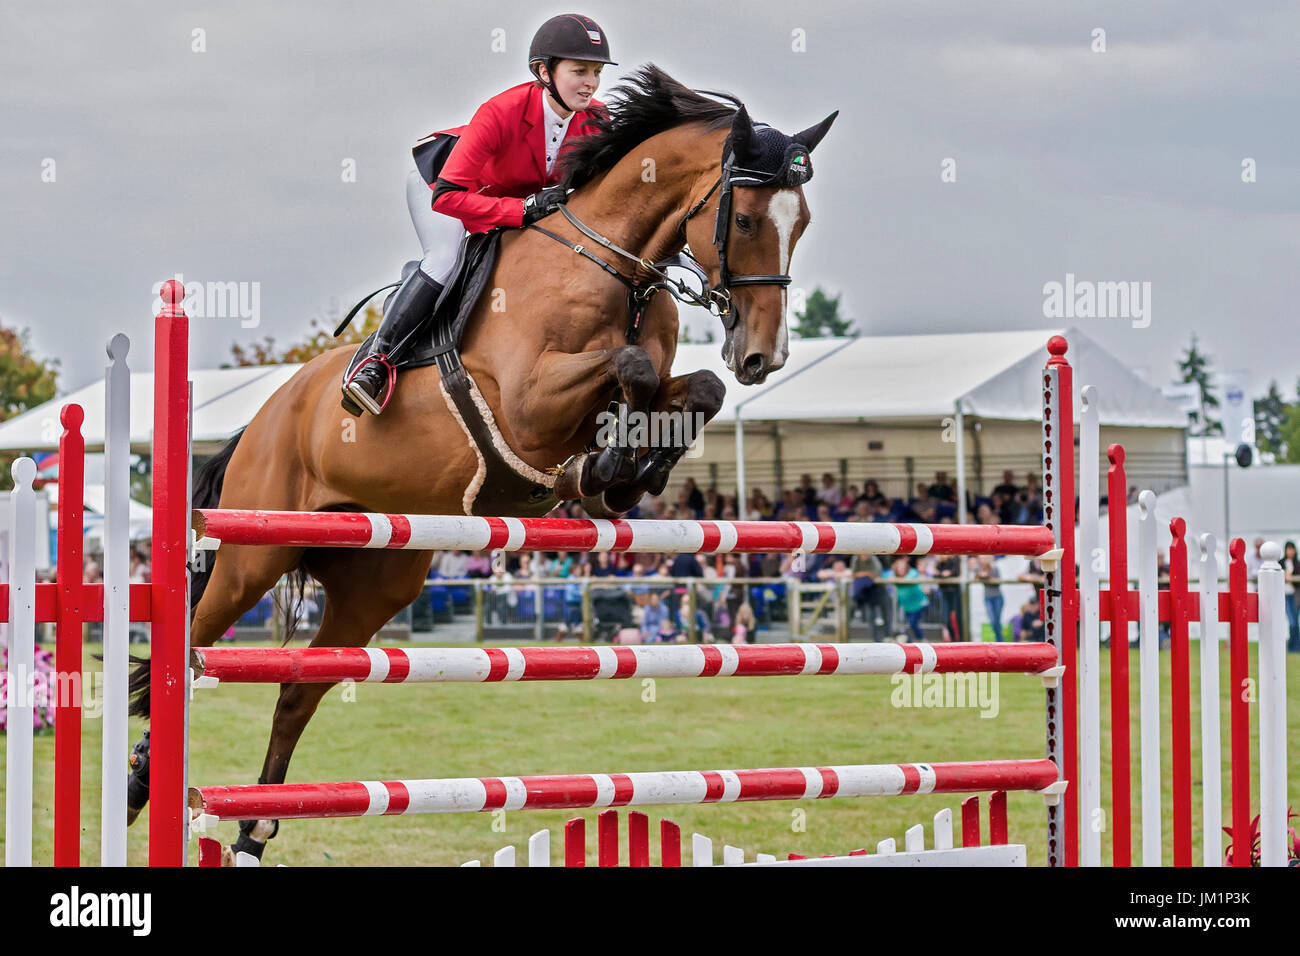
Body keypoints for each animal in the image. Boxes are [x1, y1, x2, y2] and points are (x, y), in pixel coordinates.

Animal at [131, 63, 837, 863]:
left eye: (801, 223)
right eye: (744, 220)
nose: (763, 357)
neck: (613, 265)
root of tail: (267, 414)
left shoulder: (652, 382)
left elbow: (691, 389)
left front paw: (631, 473)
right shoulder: (528, 404)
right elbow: (627, 369)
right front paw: (606, 468)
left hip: (374, 585)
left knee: (298, 690)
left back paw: (253, 832)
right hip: (255, 553)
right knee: (193, 642)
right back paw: (143, 779)